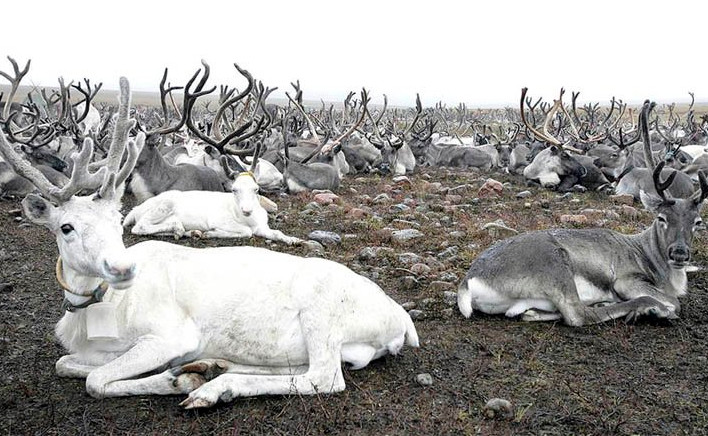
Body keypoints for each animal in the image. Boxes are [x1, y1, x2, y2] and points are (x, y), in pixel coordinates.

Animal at [0, 76, 418, 409]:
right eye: (65, 227)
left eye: (116, 220)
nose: (122, 268)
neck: (99, 310)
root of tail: (401, 317)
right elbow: (65, 364)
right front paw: (189, 370)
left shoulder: (168, 336)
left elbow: (95, 379)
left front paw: (179, 379)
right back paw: (214, 366)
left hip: (322, 318)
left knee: (323, 377)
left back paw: (213, 387)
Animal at [458, 156, 708, 326]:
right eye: (661, 217)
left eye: (697, 221)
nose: (680, 253)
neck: (646, 252)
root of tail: (469, 280)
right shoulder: (627, 281)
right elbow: (676, 303)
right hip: (557, 267)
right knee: (578, 315)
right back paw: (647, 308)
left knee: (530, 314)